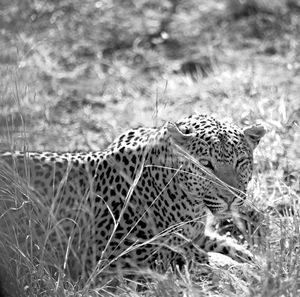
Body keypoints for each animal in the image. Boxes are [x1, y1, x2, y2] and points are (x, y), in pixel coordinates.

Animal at [1, 114, 266, 280]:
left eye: (241, 162)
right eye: (206, 164)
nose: (231, 197)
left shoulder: (196, 233)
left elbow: (222, 245)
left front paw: (252, 260)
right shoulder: (113, 256)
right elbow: (195, 256)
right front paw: (237, 271)